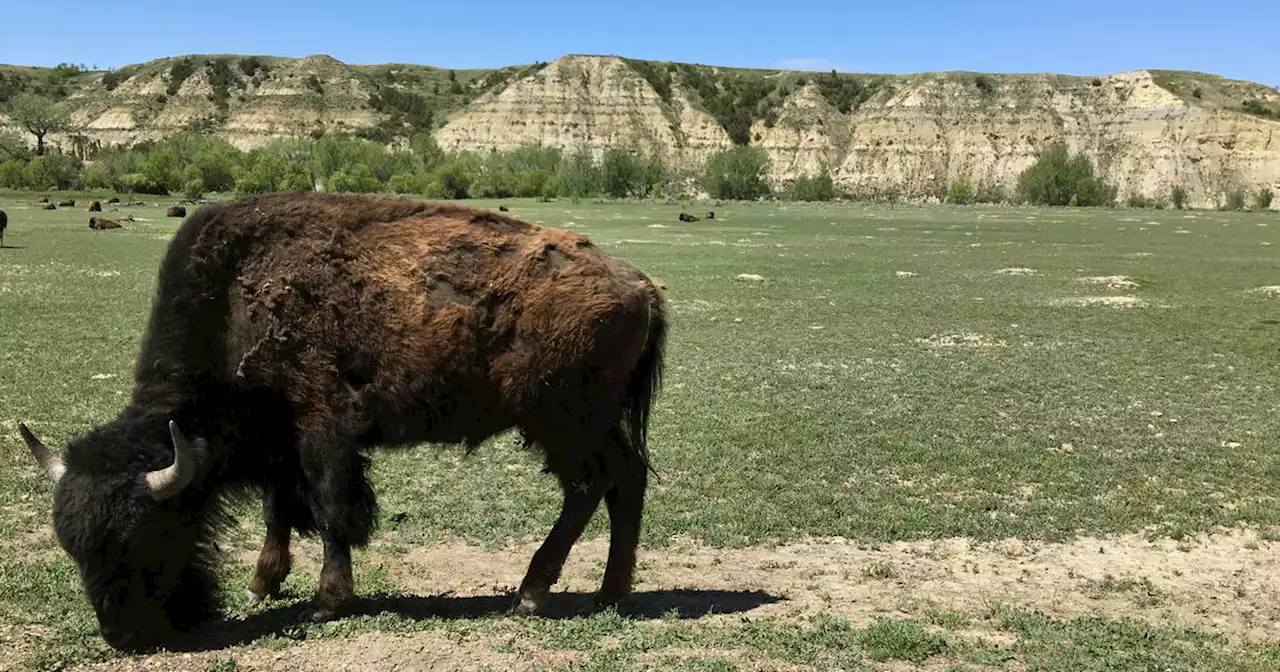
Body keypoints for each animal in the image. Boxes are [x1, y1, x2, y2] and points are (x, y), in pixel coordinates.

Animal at [20, 188, 670, 650]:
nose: (122, 636)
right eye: (72, 548)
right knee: (626, 480)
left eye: (147, 534)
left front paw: (326, 601)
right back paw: (609, 593)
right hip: (587, 422)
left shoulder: (323, 429)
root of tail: (641, 285)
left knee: (591, 486)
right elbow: (281, 509)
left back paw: (534, 593)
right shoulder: (281, 441)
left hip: (562, 420)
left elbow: (331, 511)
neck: (233, 302)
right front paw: (263, 582)